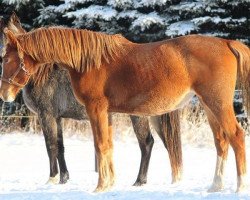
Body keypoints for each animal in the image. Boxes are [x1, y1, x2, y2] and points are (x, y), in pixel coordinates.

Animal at [0, 27, 249, 192]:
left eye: (7, 59)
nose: (4, 94)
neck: (88, 61)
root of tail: (227, 43)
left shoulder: (95, 110)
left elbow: (99, 145)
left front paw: (100, 187)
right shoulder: (106, 113)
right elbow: (108, 146)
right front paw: (109, 184)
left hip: (217, 104)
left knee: (236, 136)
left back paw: (239, 187)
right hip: (208, 106)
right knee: (221, 141)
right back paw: (215, 186)